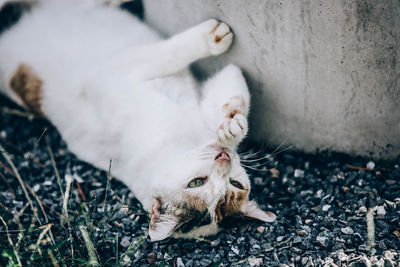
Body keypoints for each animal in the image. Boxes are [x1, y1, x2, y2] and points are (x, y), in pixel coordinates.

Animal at [0, 0, 276, 243]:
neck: (182, 141)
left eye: (234, 184)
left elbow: (233, 90)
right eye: (196, 183)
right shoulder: (119, 70)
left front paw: (231, 125)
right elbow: (172, 55)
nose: (224, 156)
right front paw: (211, 39)